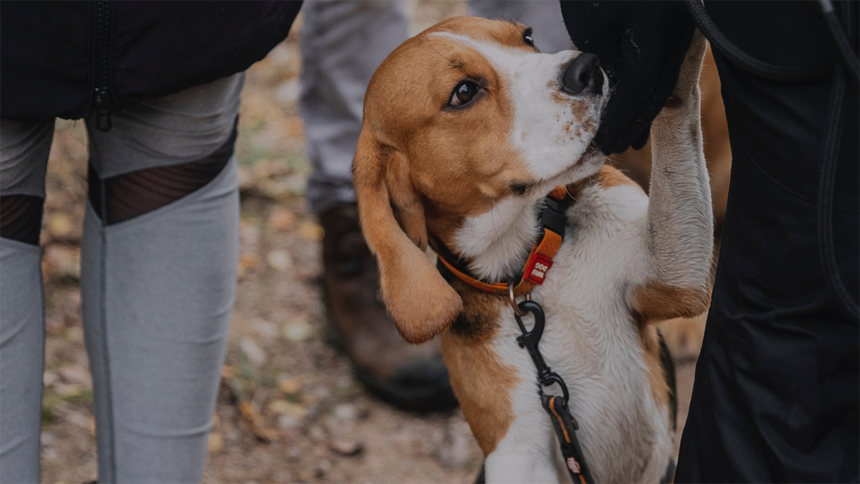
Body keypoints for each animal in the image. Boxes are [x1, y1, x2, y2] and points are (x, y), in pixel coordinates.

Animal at [352, 17, 712, 482]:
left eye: (526, 37)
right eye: (463, 92)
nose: (587, 68)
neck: (527, 267)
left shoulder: (673, 273)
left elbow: (677, 102)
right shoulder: (515, 450)